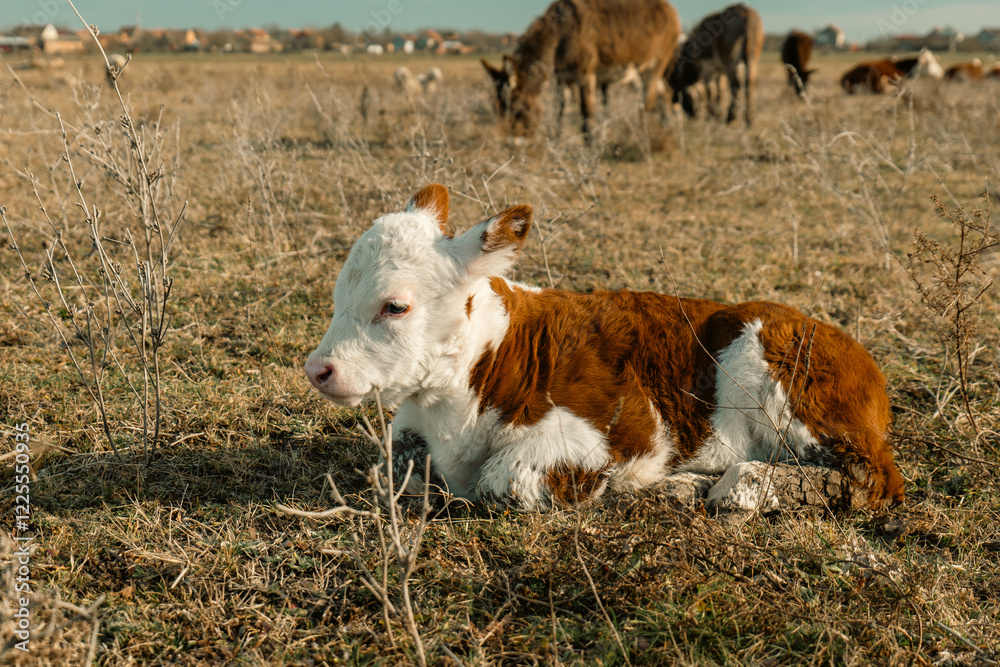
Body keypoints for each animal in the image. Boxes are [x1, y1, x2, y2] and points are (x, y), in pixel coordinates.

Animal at [304, 184, 906, 512]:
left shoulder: (620, 428)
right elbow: (393, 464)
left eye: (394, 306)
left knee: (871, 476)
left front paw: (631, 489)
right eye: (337, 296)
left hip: (787, 382)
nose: (318, 369)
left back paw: (739, 488)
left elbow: (509, 480)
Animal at [487, 0, 681, 137]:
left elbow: (586, 112)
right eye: (498, 110)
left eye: (516, 108)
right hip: (645, 71)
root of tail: (669, 8)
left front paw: (590, 145)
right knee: (666, 93)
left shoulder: (585, 75)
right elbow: (558, 112)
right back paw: (667, 131)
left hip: (655, 66)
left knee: (647, 102)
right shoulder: (562, 79)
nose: (512, 140)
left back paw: (641, 136)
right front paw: (555, 142)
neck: (561, 33)